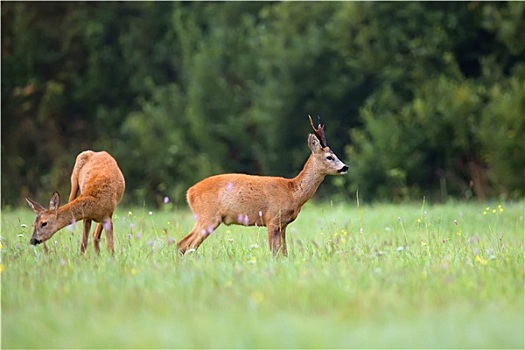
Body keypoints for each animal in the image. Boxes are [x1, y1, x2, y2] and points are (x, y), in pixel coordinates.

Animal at [177, 116, 348, 256]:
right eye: (329, 157)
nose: (345, 167)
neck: (293, 192)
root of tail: (189, 192)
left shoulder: (283, 224)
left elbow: (284, 253)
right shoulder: (271, 219)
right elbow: (274, 252)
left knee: (185, 244)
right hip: (207, 216)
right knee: (184, 244)